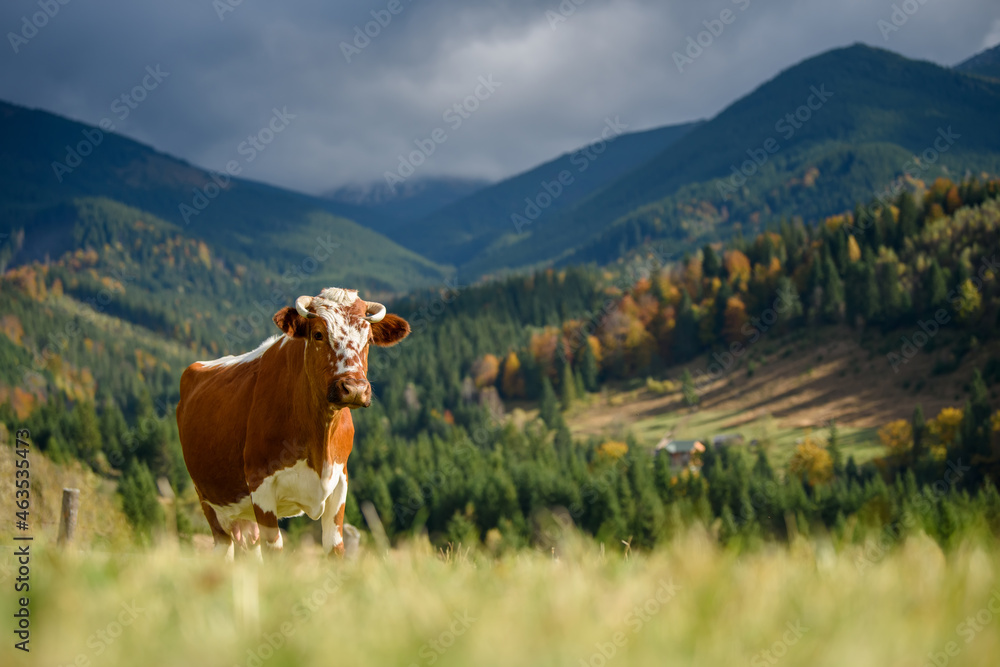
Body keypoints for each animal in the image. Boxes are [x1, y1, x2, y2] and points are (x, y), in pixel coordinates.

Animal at [175, 288, 406, 560]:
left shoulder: (340, 483)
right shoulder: (261, 486)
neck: (319, 442)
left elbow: (335, 550)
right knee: (225, 547)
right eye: (318, 334)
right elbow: (274, 552)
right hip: (208, 500)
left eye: (368, 339)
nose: (354, 389)